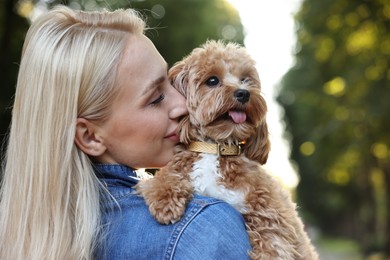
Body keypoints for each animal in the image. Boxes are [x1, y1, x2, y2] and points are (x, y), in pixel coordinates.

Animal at [136, 40, 318, 260]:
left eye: (245, 79)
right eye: (212, 80)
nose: (243, 93)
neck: (215, 148)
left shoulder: (271, 209)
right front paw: (165, 201)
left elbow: (275, 241)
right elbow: (164, 176)